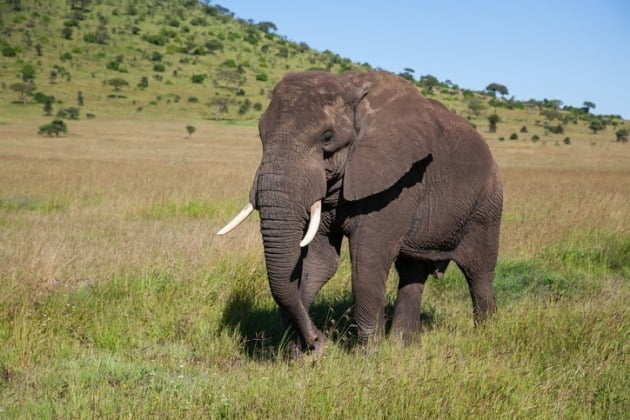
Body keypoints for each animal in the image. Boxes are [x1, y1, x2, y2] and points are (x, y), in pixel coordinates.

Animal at [220, 70, 506, 356]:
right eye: (260, 134)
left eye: (327, 137)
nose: (319, 340)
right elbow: (320, 261)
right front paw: (302, 354)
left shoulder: (398, 182)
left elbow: (367, 260)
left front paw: (368, 354)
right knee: (412, 271)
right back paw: (403, 346)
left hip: (487, 205)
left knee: (479, 272)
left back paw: (485, 336)